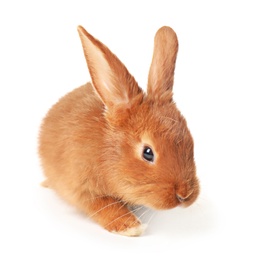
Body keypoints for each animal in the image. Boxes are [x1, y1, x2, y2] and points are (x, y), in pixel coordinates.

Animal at [38, 25, 199, 237]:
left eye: (190, 142)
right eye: (148, 153)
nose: (185, 194)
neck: (106, 153)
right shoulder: (84, 189)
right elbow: (106, 207)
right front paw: (131, 227)